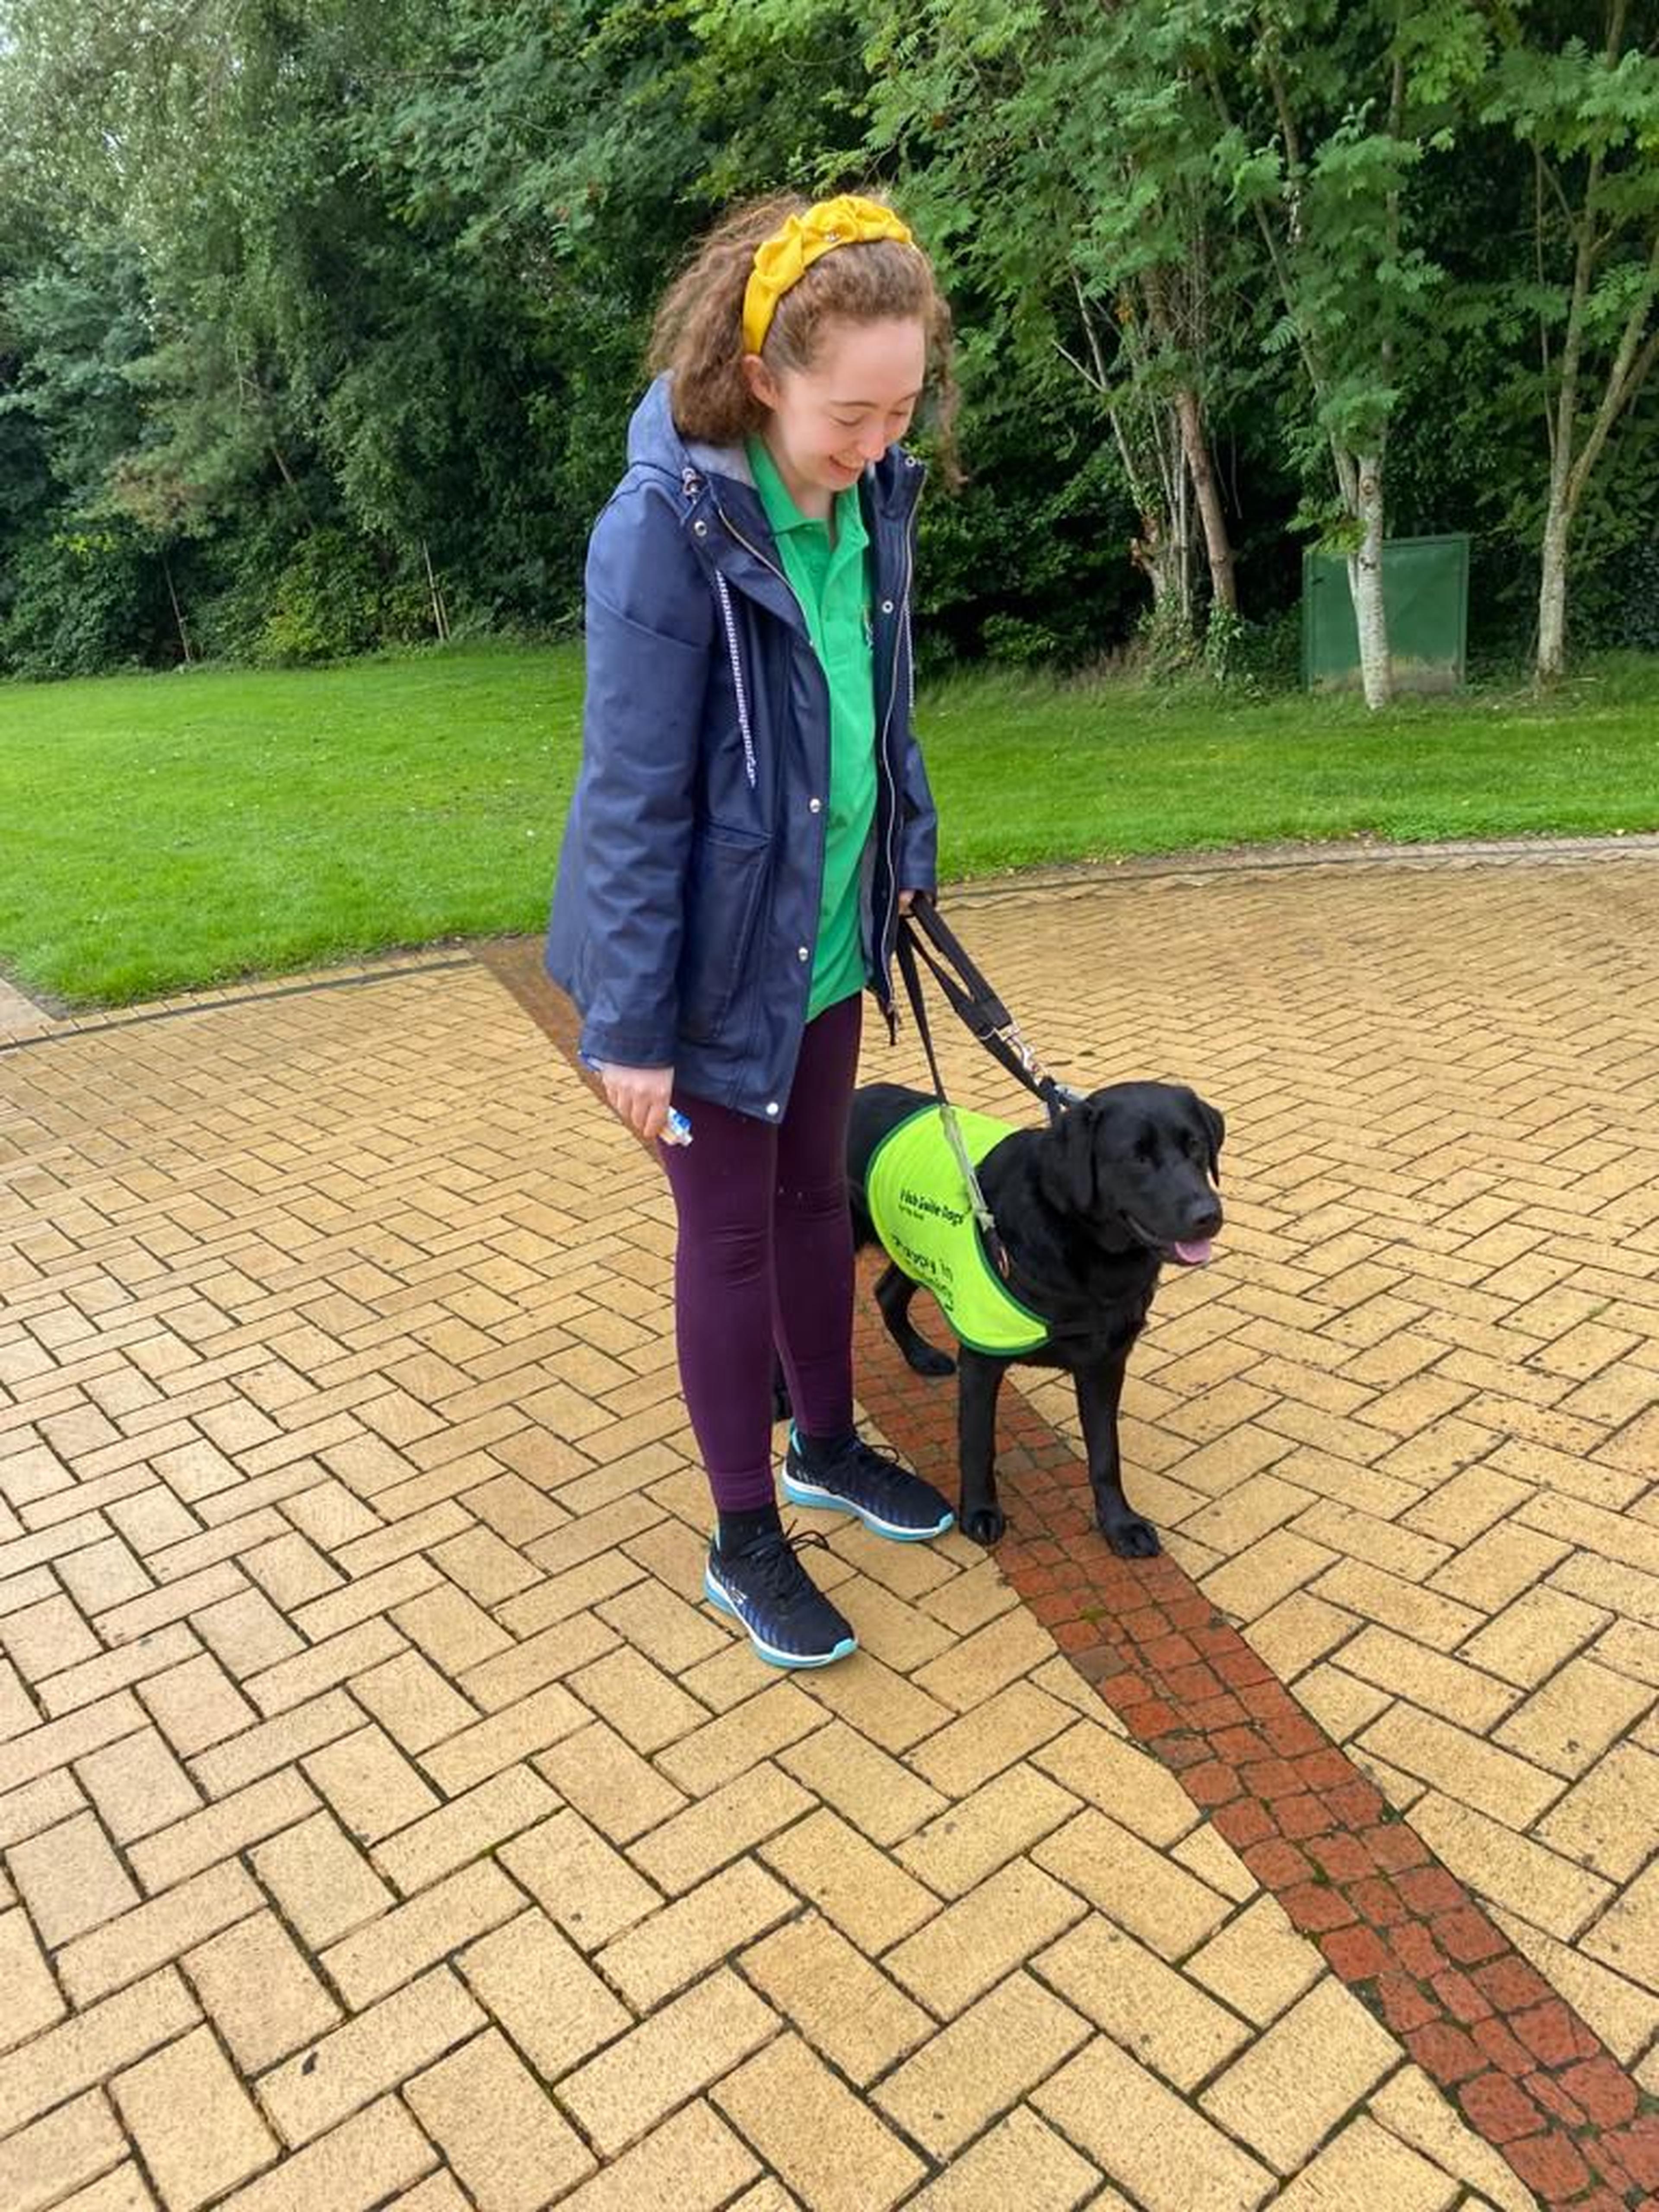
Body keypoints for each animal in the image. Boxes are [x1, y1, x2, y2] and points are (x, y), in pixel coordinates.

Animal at [846, 1080, 1224, 1554]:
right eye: (1137, 1157)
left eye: (1196, 1147)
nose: (1208, 1216)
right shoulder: (982, 1359)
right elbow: (978, 1444)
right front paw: (980, 1512)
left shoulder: (1104, 1364)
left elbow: (1106, 1455)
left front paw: (1120, 1524)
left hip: (909, 1246)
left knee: (886, 1293)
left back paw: (920, 1355)